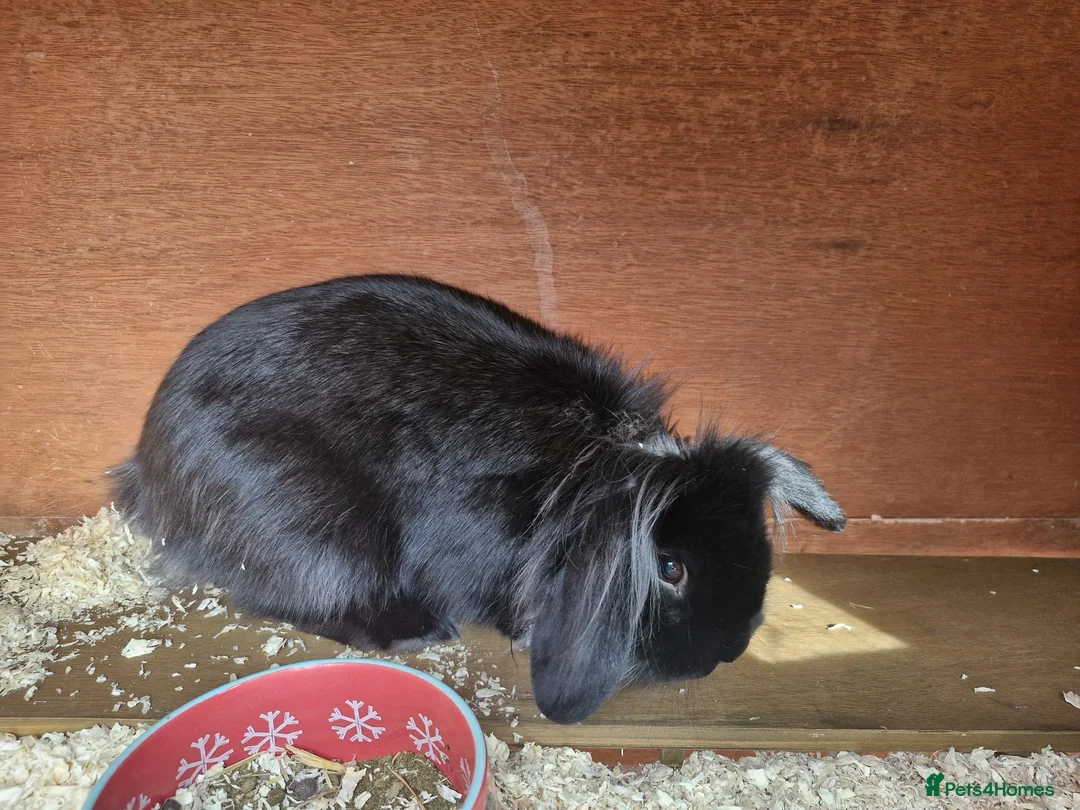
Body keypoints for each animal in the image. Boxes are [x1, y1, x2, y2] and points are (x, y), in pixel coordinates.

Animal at [112, 274, 844, 724]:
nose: (731, 649)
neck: (578, 482)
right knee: (288, 596)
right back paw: (416, 630)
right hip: (318, 531)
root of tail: (148, 470)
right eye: (671, 569)